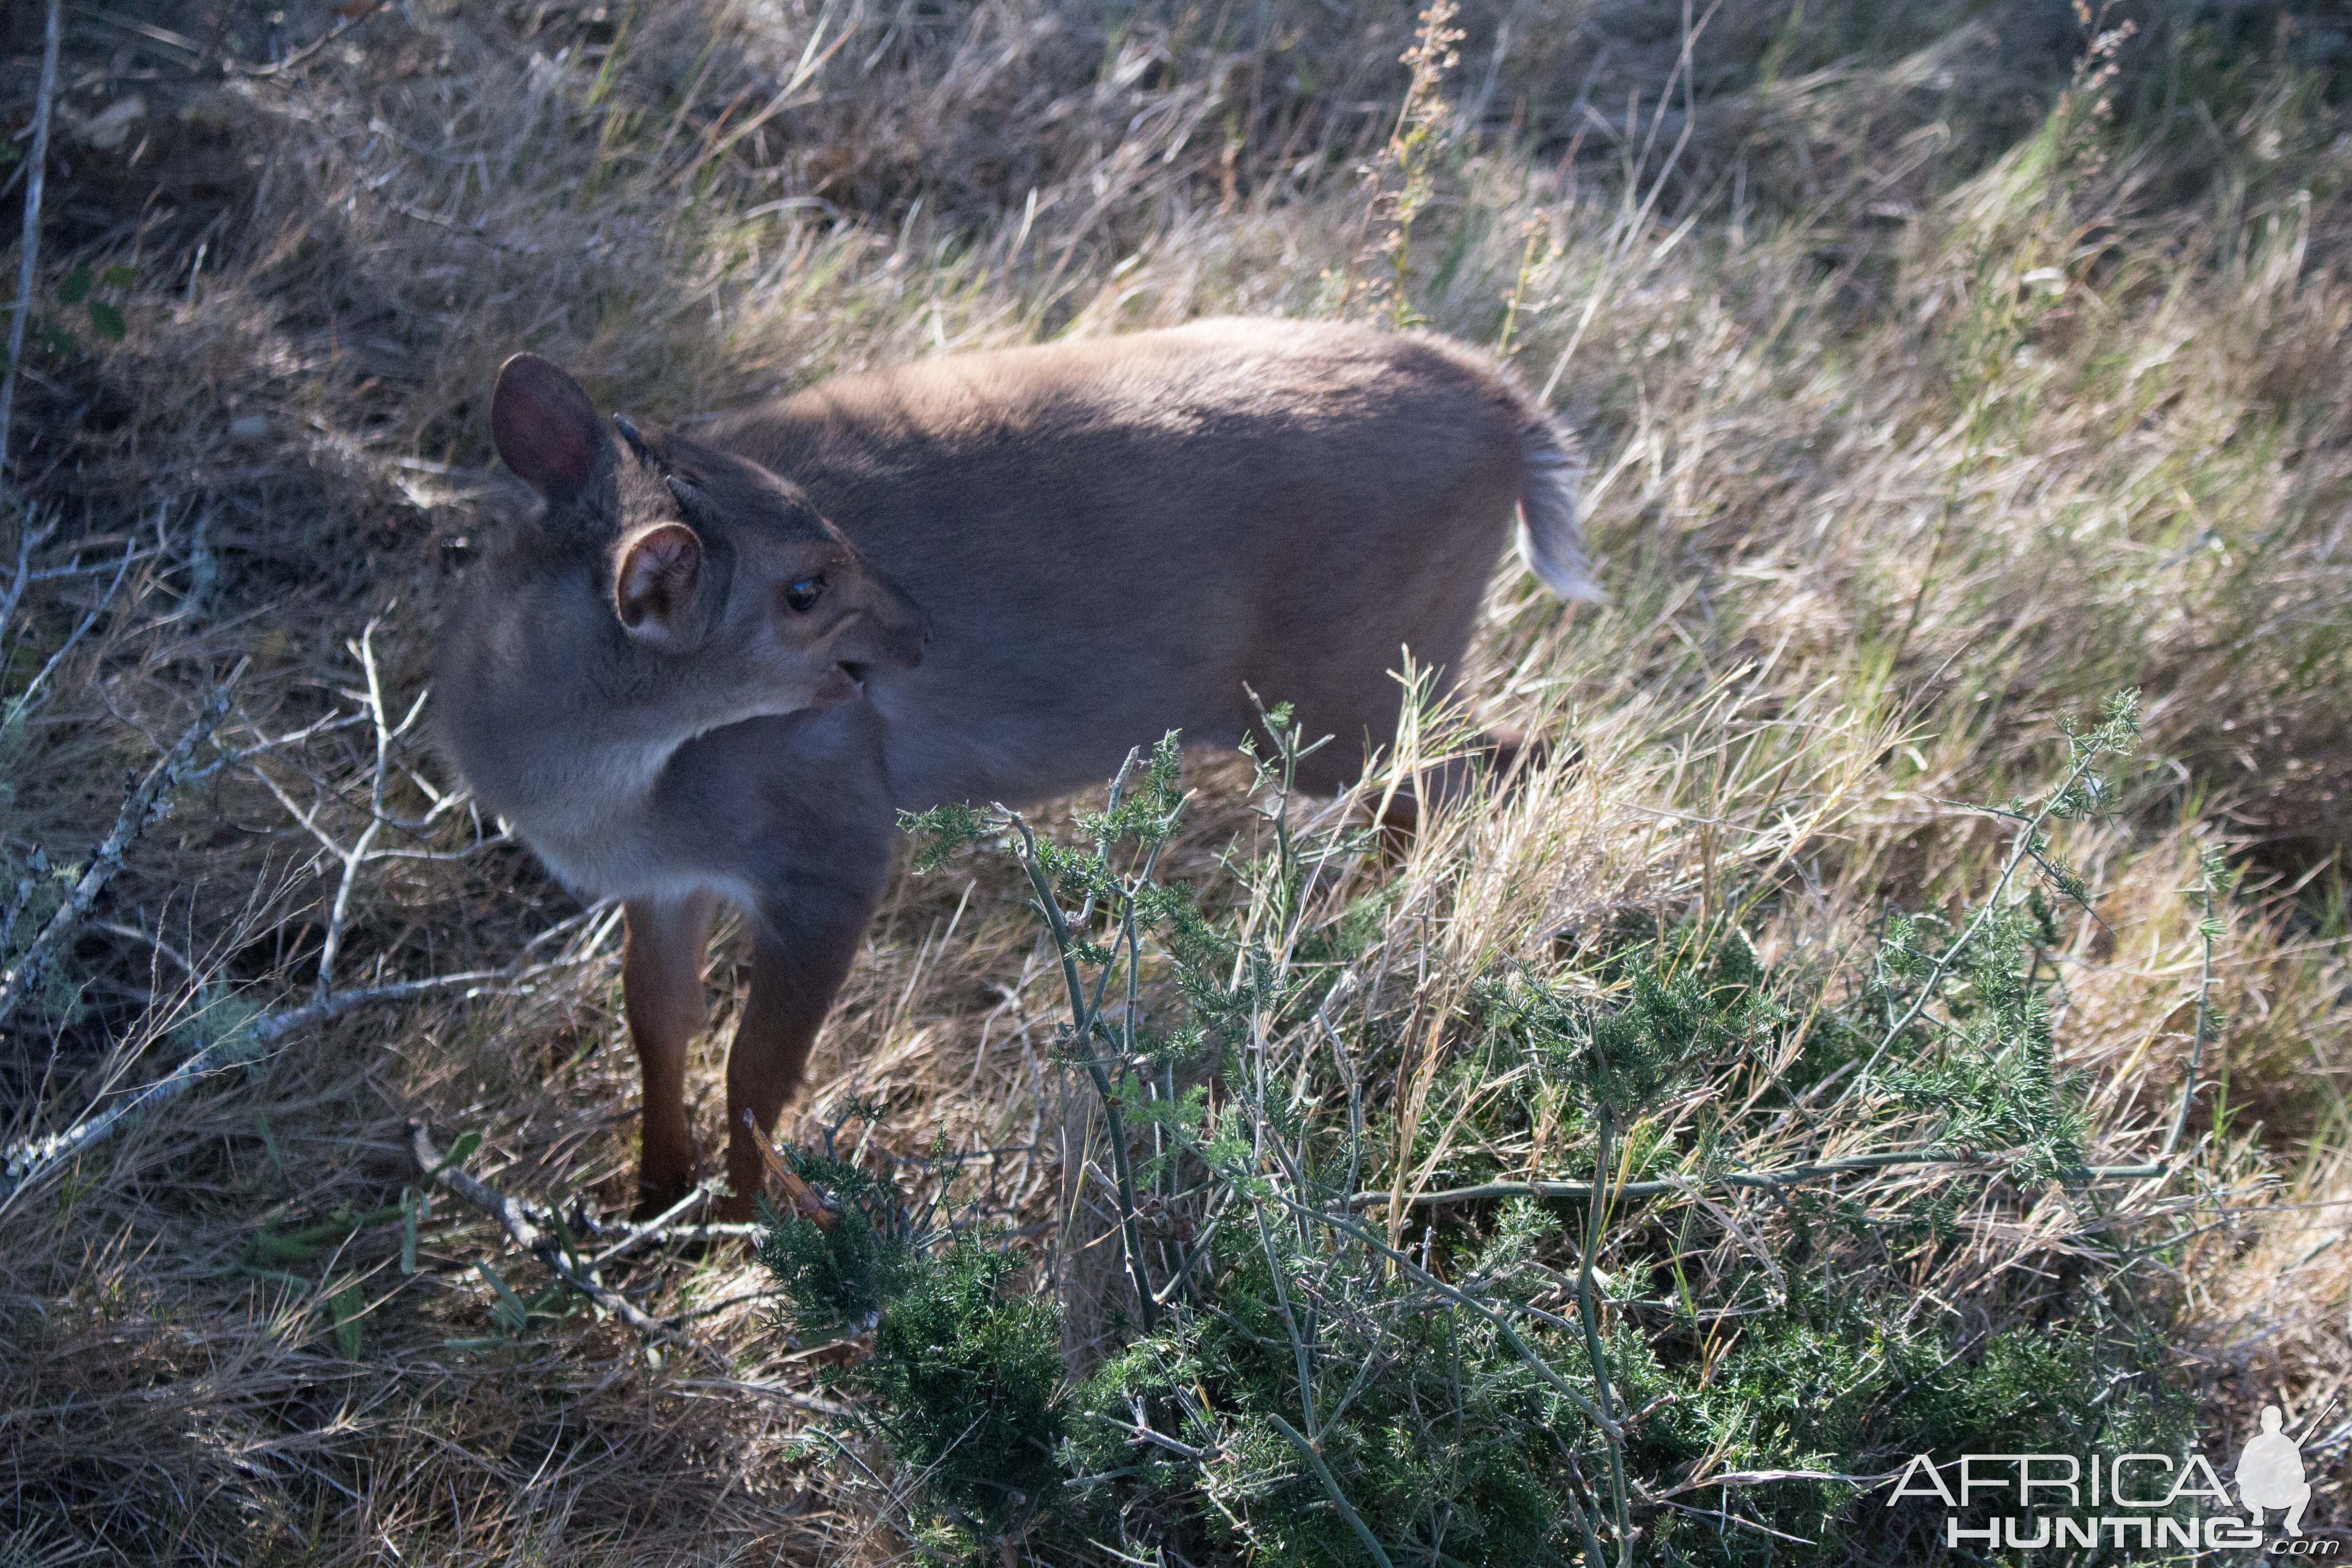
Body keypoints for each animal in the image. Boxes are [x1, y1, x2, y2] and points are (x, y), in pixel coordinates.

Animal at [432, 319, 1590, 1222]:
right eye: (804, 588)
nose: (921, 633)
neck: (609, 788)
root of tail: (1513, 413)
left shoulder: (833, 843)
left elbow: (757, 1068)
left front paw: (743, 1229)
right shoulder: (668, 880)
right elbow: (658, 1026)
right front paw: (650, 1199)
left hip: (1347, 697)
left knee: (1486, 769)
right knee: (1488, 766)